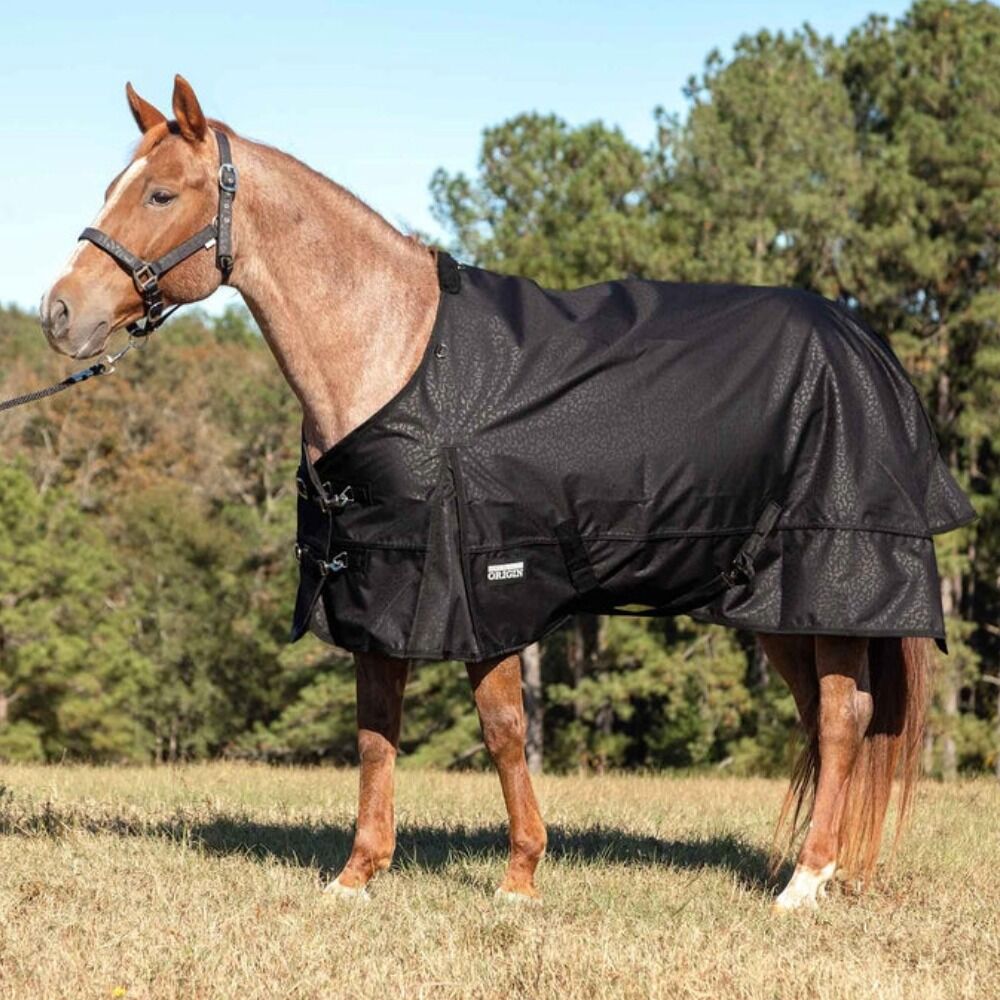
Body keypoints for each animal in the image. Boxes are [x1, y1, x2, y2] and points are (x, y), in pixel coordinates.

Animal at [38, 75, 967, 912]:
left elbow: (503, 731)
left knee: (844, 717)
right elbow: (375, 735)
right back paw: (827, 869)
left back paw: (803, 884)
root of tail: (867, 347)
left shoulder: (486, 587)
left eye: (161, 191)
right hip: (776, 604)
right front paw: (357, 877)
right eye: (115, 185)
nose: (59, 312)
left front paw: (519, 877)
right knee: (826, 718)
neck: (396, 354)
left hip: (829, 582)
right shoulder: (377, 587)